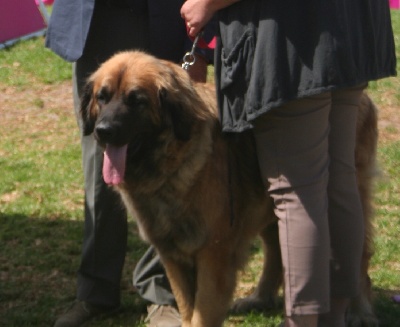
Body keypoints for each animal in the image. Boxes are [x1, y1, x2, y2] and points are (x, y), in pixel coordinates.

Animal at [80, 51, 378, 327]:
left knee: (360, 255)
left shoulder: (214, 256)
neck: (172, 160)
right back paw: (260, 298)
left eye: (137, 100)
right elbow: (187, 309)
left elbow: (201, 315)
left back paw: (360, 310)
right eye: (102, 97)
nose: (103, 130)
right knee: (278, 251)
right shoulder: (173, 256)